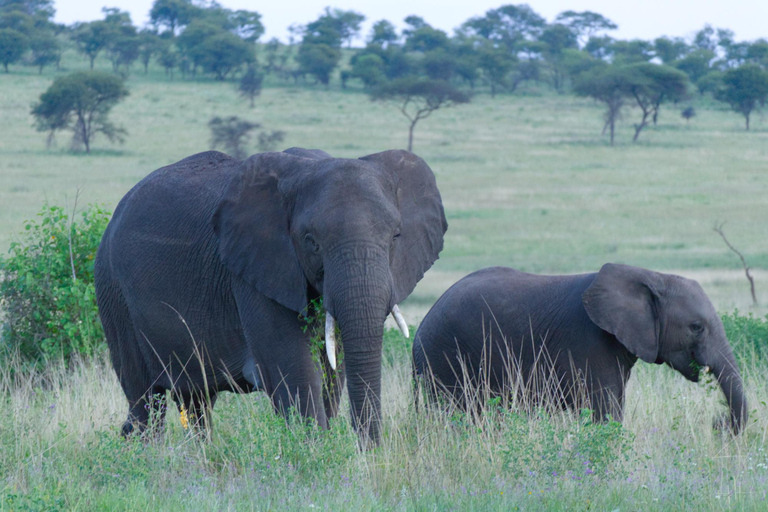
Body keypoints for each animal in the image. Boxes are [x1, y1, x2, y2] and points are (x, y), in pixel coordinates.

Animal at [94, 146, 448, 446]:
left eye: (396, 236)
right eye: (311, 241)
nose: (369, 452)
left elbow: (332, 373)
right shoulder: (254, 271)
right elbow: (294, 371)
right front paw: (317, 456)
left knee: (196, 402)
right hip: (112, 291)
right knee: (145, 400)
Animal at [414, 264, 752, 432]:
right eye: (696, 327)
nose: (718, 423)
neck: (652, 276)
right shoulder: (590, 342)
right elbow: (606, 411)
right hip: (444, 356)